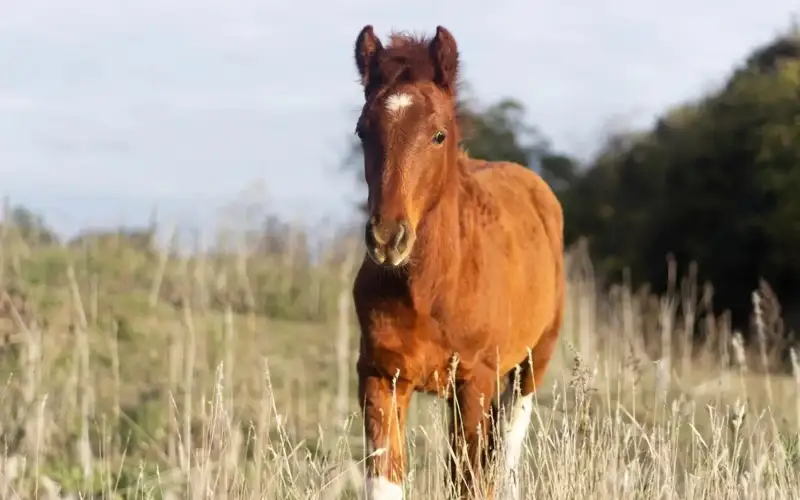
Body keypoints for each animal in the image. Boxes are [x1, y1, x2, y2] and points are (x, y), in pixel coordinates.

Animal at [354, 24, 564, 500]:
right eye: (362, 132)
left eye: (438, 135)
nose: (387, 238)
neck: (431, 288)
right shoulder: (380, 375)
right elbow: (386, 476)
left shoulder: (476, 381)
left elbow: (470, 481)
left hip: (529, 367)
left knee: (505, 458)